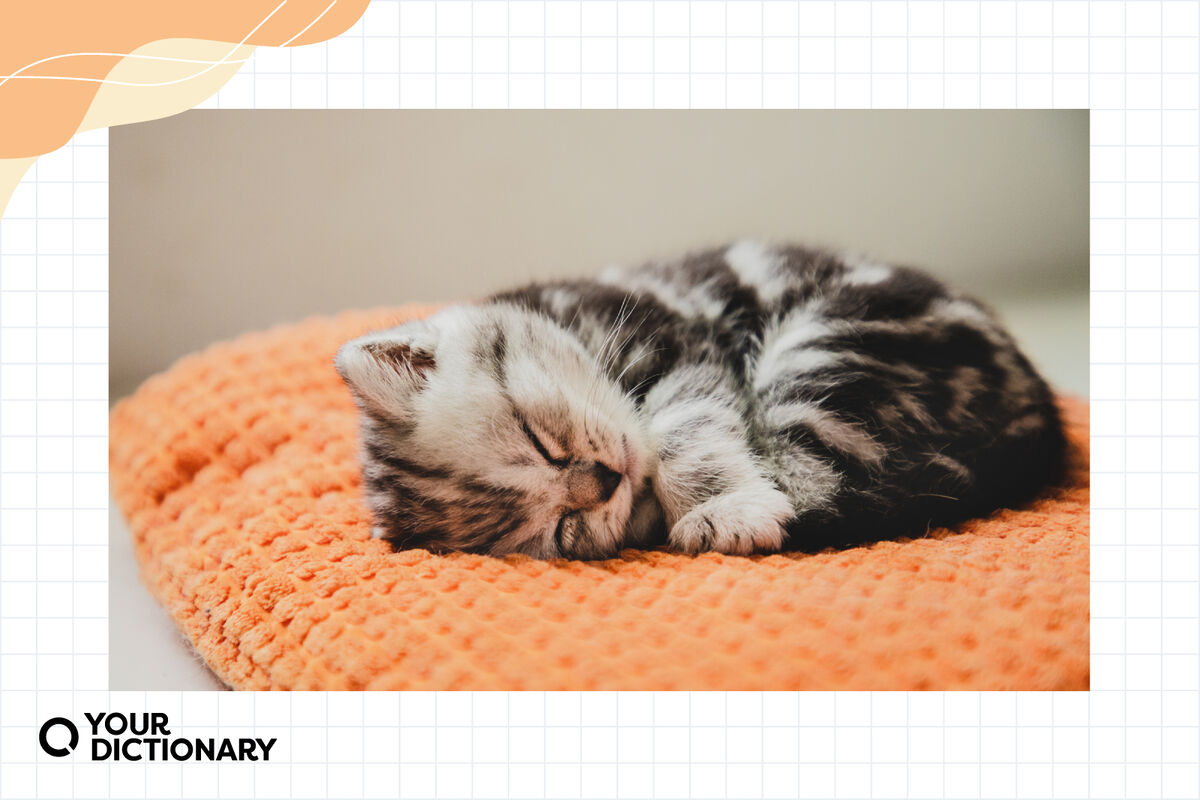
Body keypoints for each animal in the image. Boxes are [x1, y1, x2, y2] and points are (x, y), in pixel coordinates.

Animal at [333, 241, 1065, 561]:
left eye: (539, 438)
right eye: (562, 531)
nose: (605, 482)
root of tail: (1039, 421)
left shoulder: (681, 347)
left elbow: (684, 436)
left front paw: (726, 507)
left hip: (826, 338)